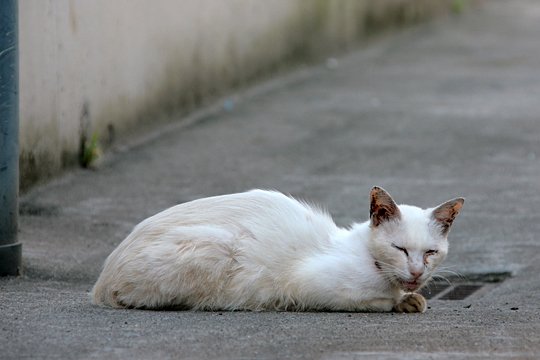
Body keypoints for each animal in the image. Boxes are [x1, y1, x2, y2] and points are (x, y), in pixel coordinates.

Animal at [90, 187, 462, 314]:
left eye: (430, 253)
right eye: (400, 249)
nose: (416, 272)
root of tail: (101, 280)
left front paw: (412, 299)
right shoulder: (308, 286)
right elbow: (376, 300)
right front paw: (402, 302)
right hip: (215, 249)